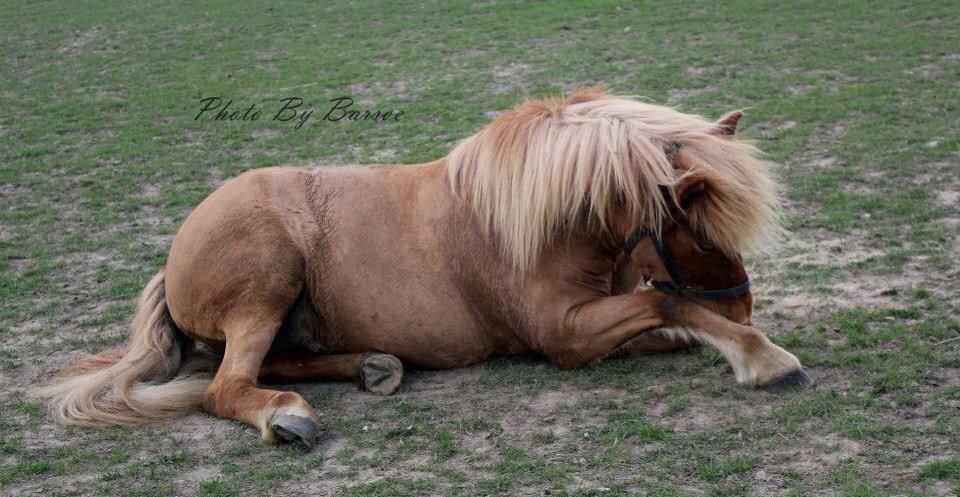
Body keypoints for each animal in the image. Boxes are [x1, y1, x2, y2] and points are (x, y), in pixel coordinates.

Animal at [37, 87, 808, 448]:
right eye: (702, 236)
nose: (743, 304)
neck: (548, 219)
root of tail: (173, 260)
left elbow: (672, 323)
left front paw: (738, 344)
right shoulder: (563, 335)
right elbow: (669, 303)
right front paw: (764, 358)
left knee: (270, 364)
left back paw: (373, 366)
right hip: (267, 283)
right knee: (226, 387)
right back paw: (289, 415)